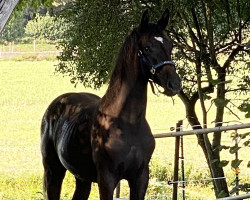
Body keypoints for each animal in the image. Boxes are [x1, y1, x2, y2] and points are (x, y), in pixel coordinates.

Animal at [41, 8, 182, 199]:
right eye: (147, 47)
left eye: (170, 45)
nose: (174, 84)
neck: (127, 123)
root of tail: (54, 107)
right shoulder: (106, 179)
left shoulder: (141, 177)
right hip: (53, 171)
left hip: (82, 178)